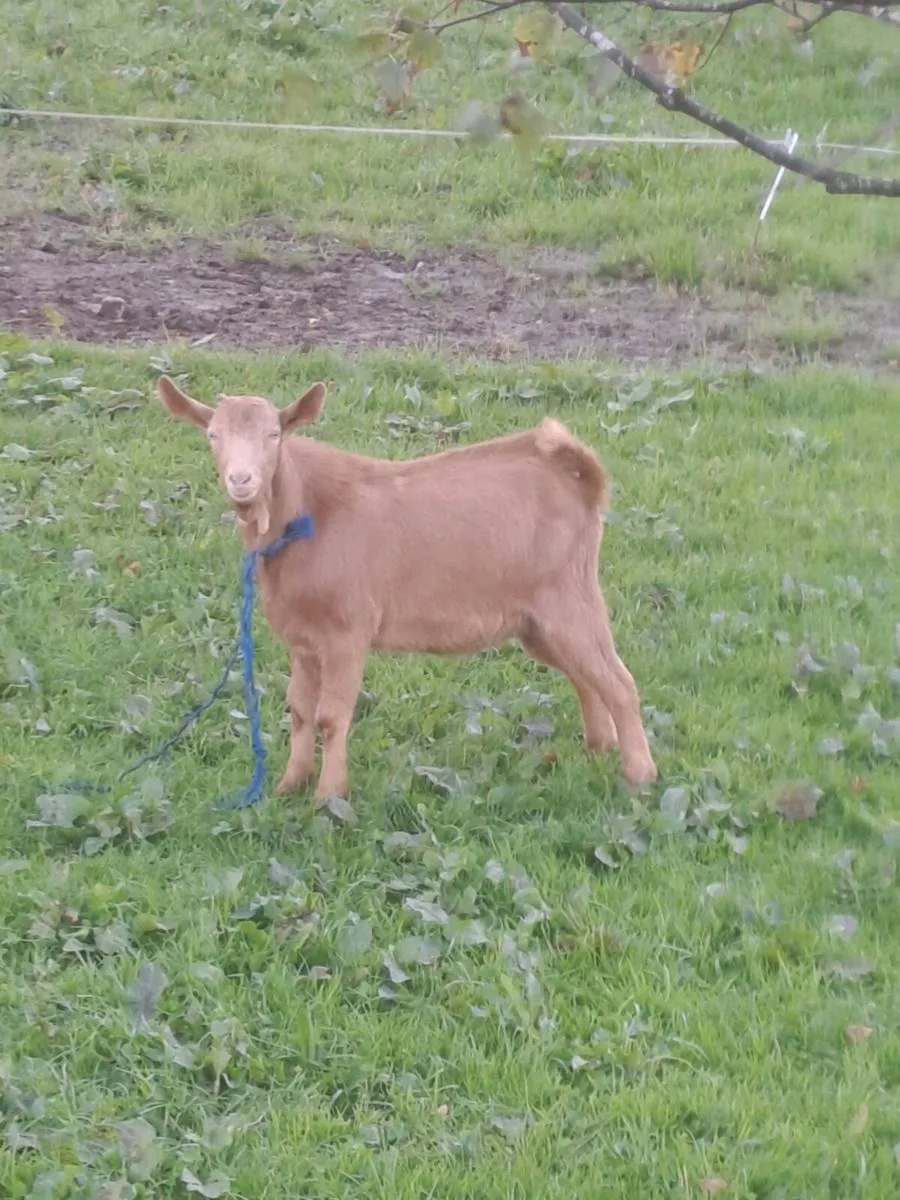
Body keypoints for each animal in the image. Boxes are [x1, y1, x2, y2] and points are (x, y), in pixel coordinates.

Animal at [156, 376, 658, 804]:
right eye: (212, 436)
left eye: (274, 435)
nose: (241, 480)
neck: (305, 514)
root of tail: (582, 478)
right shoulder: (302, 640)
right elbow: (299, 709)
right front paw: (288, 786)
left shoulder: (347, 633)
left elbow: (331, 716)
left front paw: (328, 799)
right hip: (536, 622)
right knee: (585, 676)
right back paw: (598, 747)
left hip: (569, 599)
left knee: (619, 681)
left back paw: (640, 775)